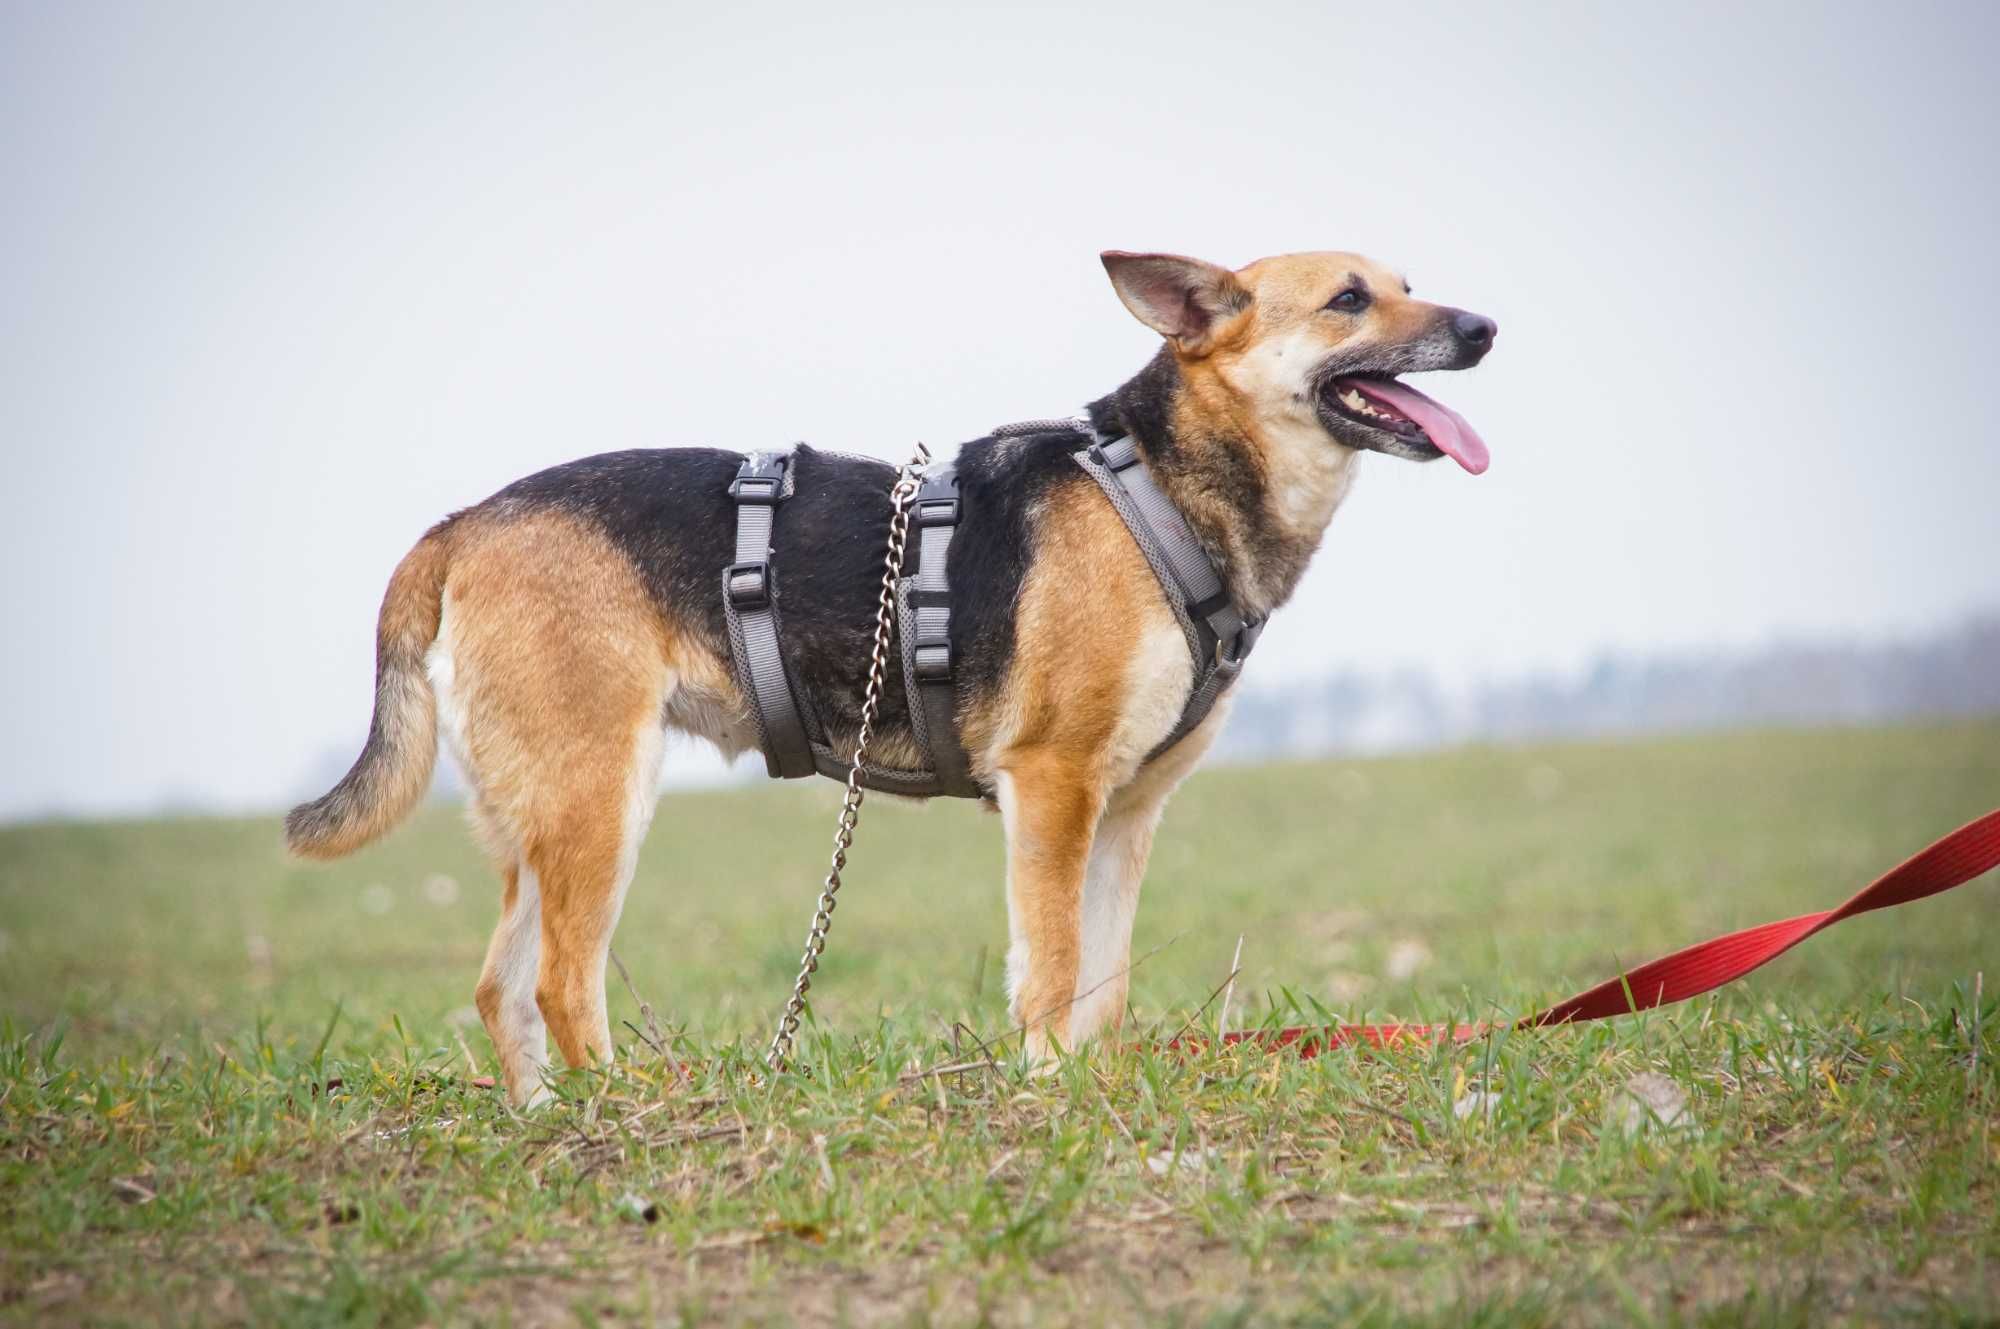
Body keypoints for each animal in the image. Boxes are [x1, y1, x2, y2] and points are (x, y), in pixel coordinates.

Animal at [290, 246, 1496, 1096]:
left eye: (1405, 285)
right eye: (1348, 300)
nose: (1485, 327)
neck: (1158, 485)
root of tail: (464, 522)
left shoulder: (1124, 812)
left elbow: (1103, 984)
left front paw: (1093, 1090)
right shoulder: (1052, 787)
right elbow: (1052, 966)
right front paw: (1046, 1090)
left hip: (536, 819)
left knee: (500, 987)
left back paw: (546, 1116)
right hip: (601, 797)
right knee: (557, 983)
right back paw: (621, 1111)